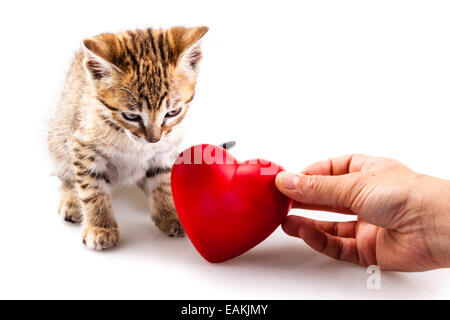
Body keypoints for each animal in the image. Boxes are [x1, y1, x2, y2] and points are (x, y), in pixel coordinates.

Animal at [47, 26, 207, 250]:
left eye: (173, 112)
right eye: (131, 116)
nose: (153, 139)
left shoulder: (166, 148)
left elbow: (162, 181)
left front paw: (168, 213)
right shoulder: (83, 146)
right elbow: (92, 189)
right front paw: (100, 227)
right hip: (59, 134)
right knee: (67, 175)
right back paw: (71, 201)